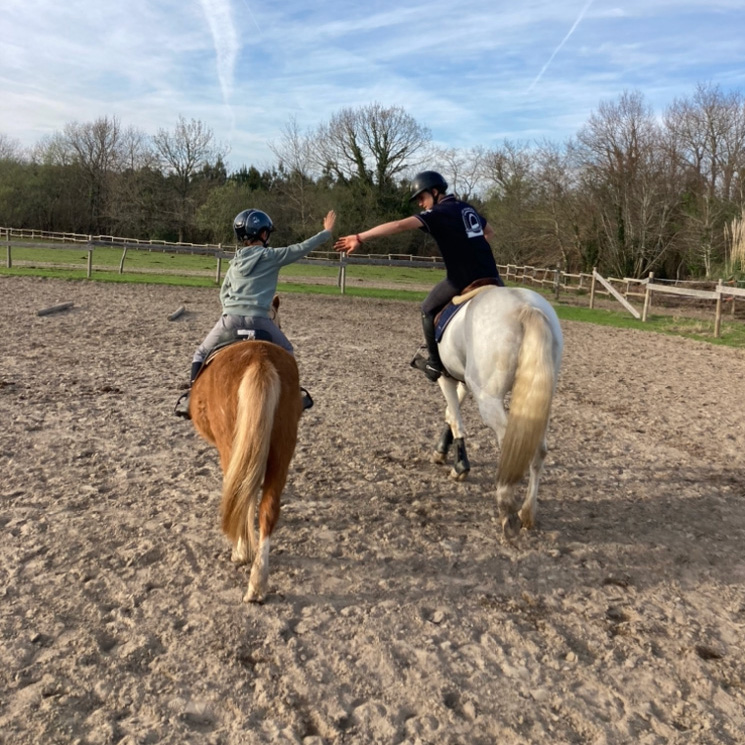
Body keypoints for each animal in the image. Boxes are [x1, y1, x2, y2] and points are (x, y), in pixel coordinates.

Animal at [189, 294, 302, 600]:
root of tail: (259, 359)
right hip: (283, 446)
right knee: (268, 507)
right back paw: (258, 583)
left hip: (232, 445)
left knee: (240, 494)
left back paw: (241, 553)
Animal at [434, 284, 560, 536]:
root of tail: (525, 308)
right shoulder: (464, 381)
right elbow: (452, 413)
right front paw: (443, 450)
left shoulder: (446, 377)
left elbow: (454, 416)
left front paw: (459, 466)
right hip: (540, 401)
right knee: (538, 450)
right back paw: (527, 513)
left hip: (488, 398)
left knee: (509, 441)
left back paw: (505, 506)